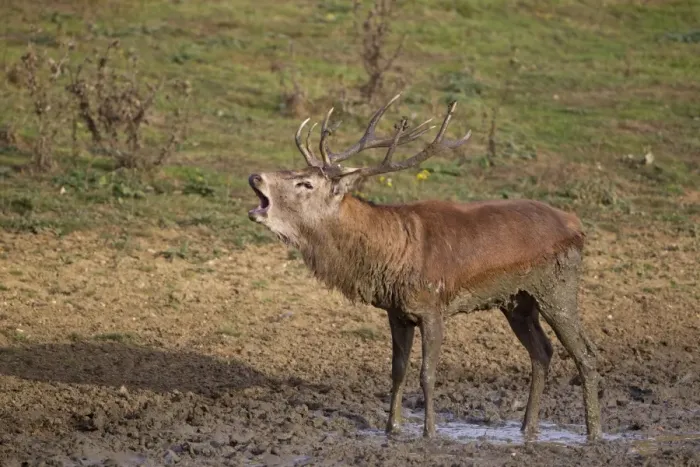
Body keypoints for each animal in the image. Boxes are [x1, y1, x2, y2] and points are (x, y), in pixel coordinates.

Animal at [247, 94, 602, 441]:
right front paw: (392, 429)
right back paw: (527, 429)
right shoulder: (397, 311)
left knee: (585, 353)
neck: (391, 253)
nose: (255, 176)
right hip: (517, 300)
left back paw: (593, 433)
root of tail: (576, 223)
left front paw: (430, 433)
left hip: (557, 287)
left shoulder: (433, 306)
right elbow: (397, 370)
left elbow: (427, 374)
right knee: (542, 351)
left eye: (305, 184)